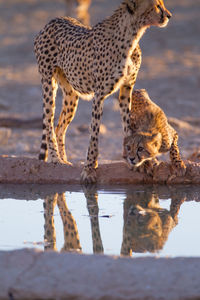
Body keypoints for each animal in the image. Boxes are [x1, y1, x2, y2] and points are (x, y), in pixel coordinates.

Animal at [34, 0, 172, 183]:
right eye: (157, 5)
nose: (169, 15)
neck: (132, 34)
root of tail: (54, 20)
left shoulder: (126, 90)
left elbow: (127, 125)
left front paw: (135, 161)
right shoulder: (99, 95)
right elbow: (94, 134)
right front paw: (89, 169)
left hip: (71, 93)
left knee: (60, 127)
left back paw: (64, 160)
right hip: (48, 83)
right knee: (49, 122)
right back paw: (56, 159)